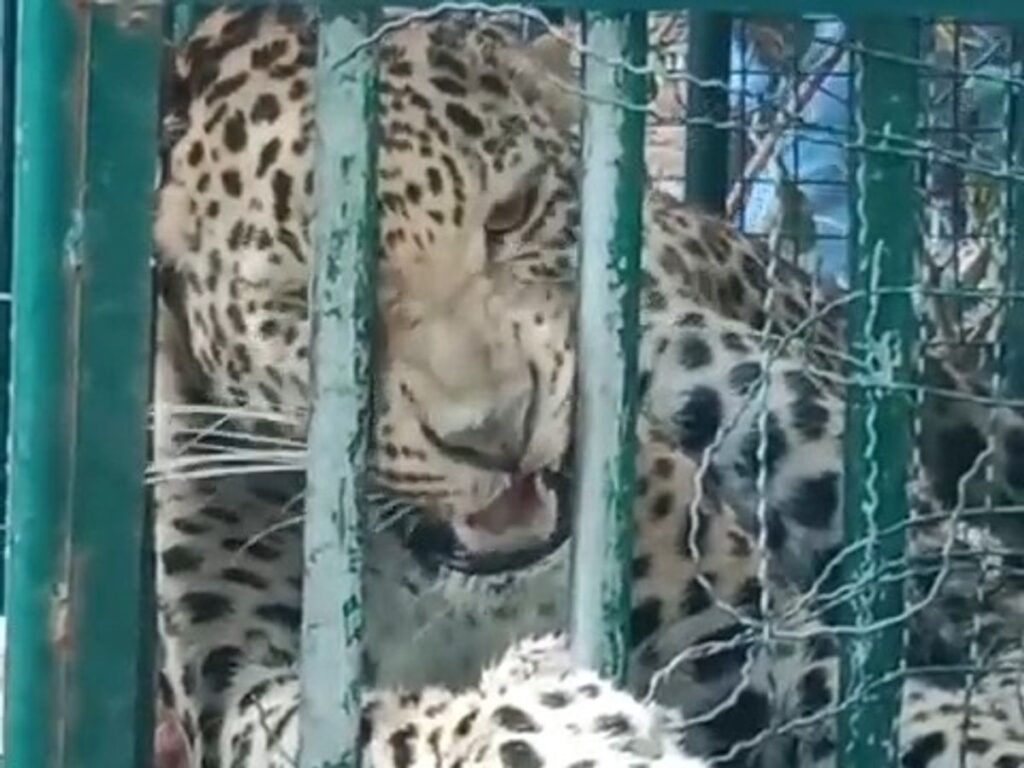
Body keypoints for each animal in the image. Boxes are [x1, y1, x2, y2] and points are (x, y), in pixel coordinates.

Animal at [152, 6, 1024, 768]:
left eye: (512, 214)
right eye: (309, 297)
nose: (495, 431)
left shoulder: (749, 648)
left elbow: (879, 701)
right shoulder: (236, 684)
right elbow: (365, 725)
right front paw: (560, 723)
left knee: (957, 563)